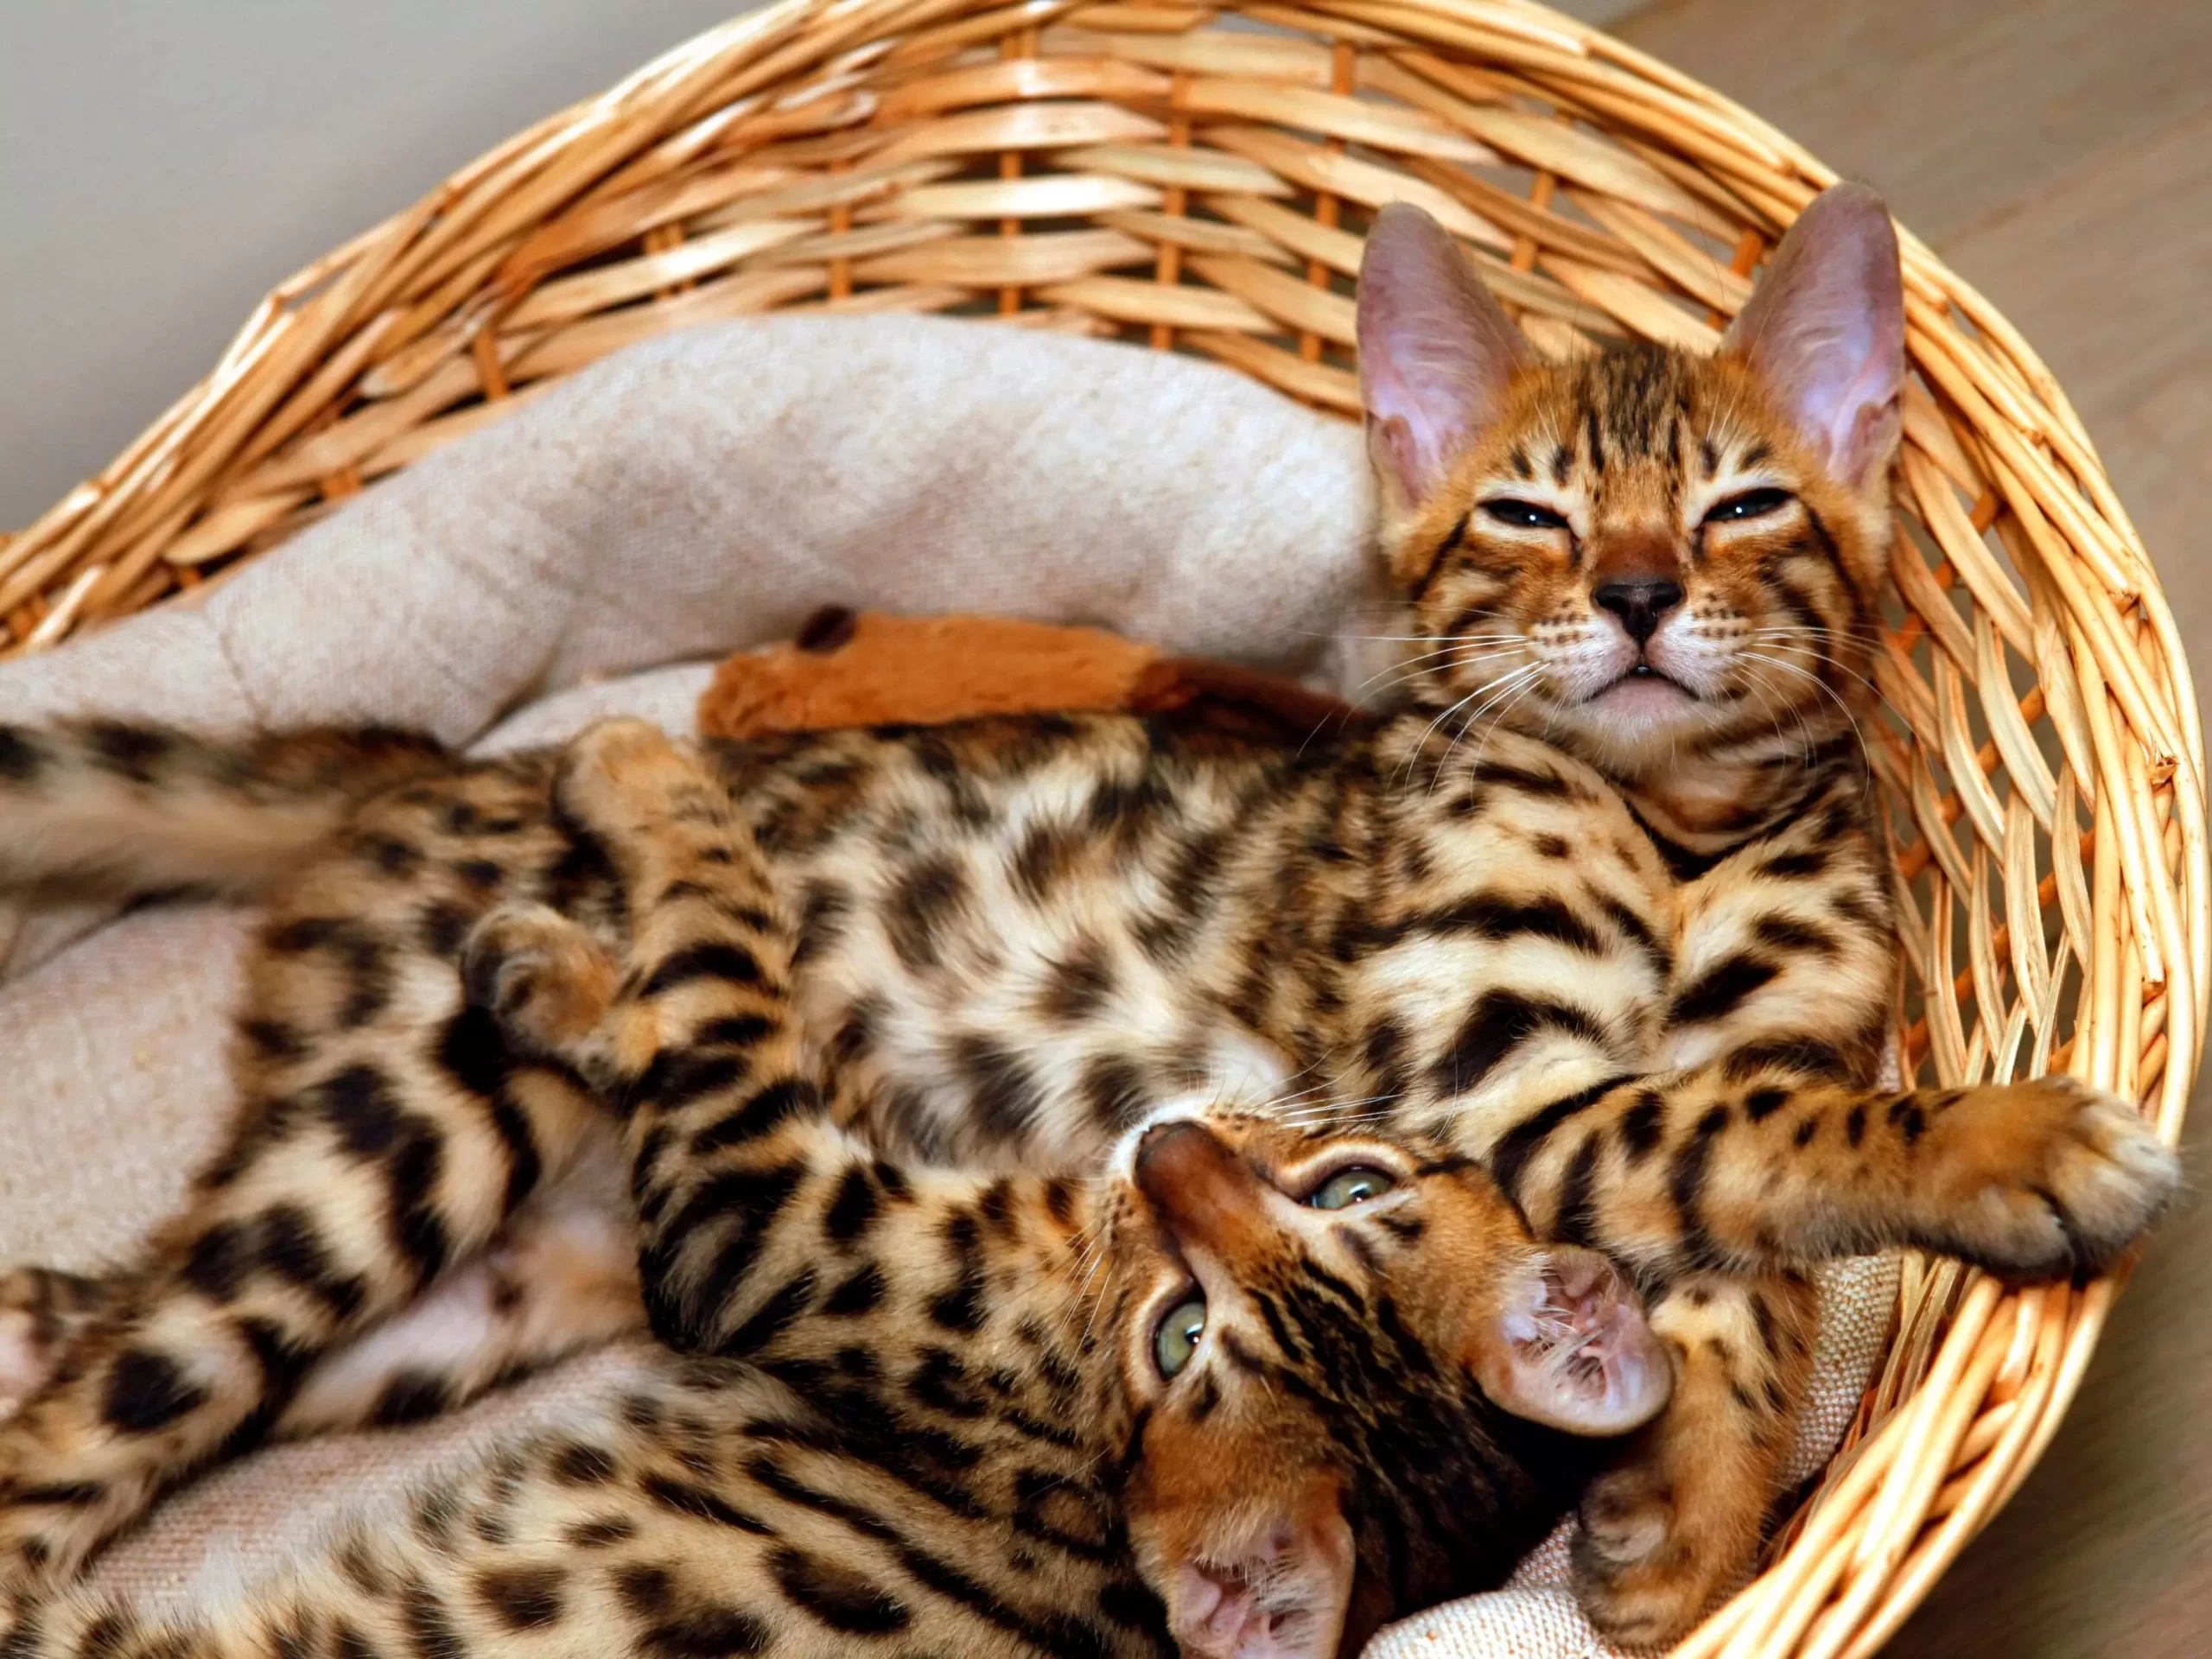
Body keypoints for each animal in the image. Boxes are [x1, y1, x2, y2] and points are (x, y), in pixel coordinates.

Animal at [0, 184, 2177, 1654]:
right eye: (1526, 518)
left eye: (1738, 508)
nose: (1638, 598)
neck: (1674, 820)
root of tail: (435, 772)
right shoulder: (1492, 1082)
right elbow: (1762, 1137)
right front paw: (2009, 1144)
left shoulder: (1697, 1059)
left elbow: (1749, 1275)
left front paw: (1687, 1533)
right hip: (403, 1148)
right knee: (88, 1424)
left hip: (479, 1301)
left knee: (102, 1321)